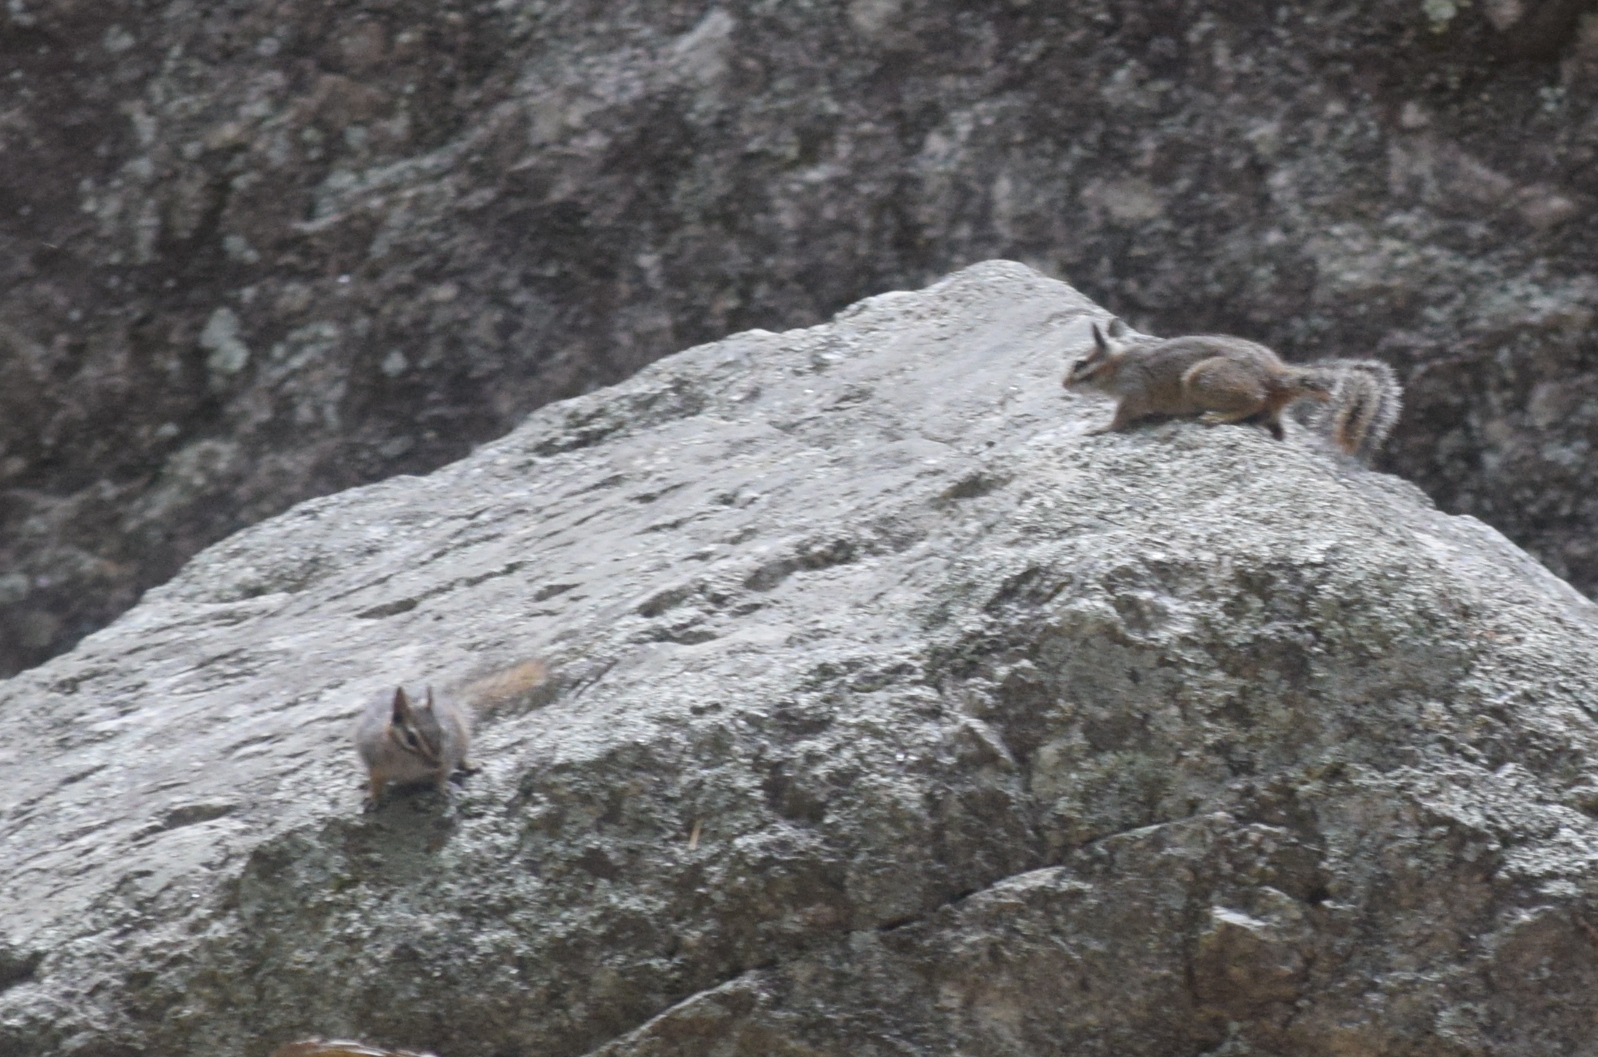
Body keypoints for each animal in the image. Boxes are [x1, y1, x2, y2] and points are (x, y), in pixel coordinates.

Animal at [1062, 318, 1401, 461]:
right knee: (1273, 423)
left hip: (1202, 378)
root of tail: (1277, 376)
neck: (1117, 365)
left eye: (1079, 364)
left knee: (1254, 400)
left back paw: (1219, 417)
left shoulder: (1134, 392)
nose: (1063, 384)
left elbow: (1122, 417)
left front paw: (1101, 428)